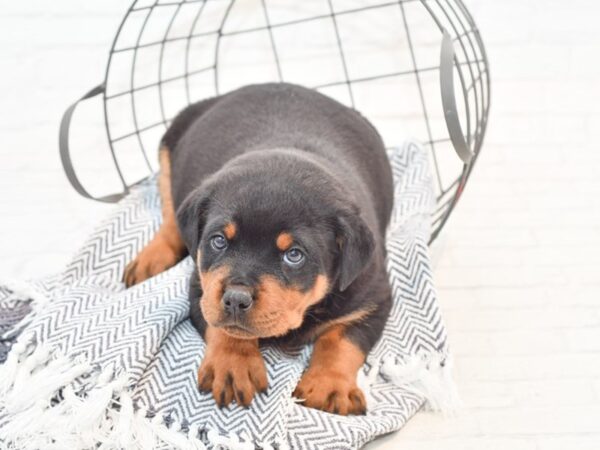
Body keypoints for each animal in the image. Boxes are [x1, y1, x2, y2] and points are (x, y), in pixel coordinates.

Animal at [122, 83, 394, 414]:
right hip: (169, 149)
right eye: (218, 241)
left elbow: (343, 339)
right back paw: (151, 259)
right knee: (171, 216)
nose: (235, 300)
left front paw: (329, 386)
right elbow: (223, 325)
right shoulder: (202, 285)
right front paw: (233, 363)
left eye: (294, 255)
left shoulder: (373, 297)